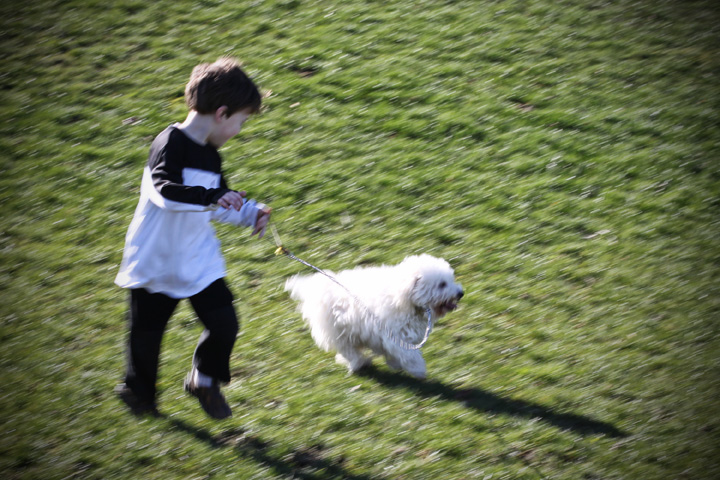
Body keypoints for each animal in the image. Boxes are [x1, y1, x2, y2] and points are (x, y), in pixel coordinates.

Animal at [284, 255, 464, 378]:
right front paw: (418, 369)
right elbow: (409, 355)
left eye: (450, 279)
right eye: (442, 284)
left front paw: (395, 364)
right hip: (336, 331)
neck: (405, 298)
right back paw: (359, 363)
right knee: (348, 350)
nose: (460, 293)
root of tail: (314, 286)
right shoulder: (396, 336)